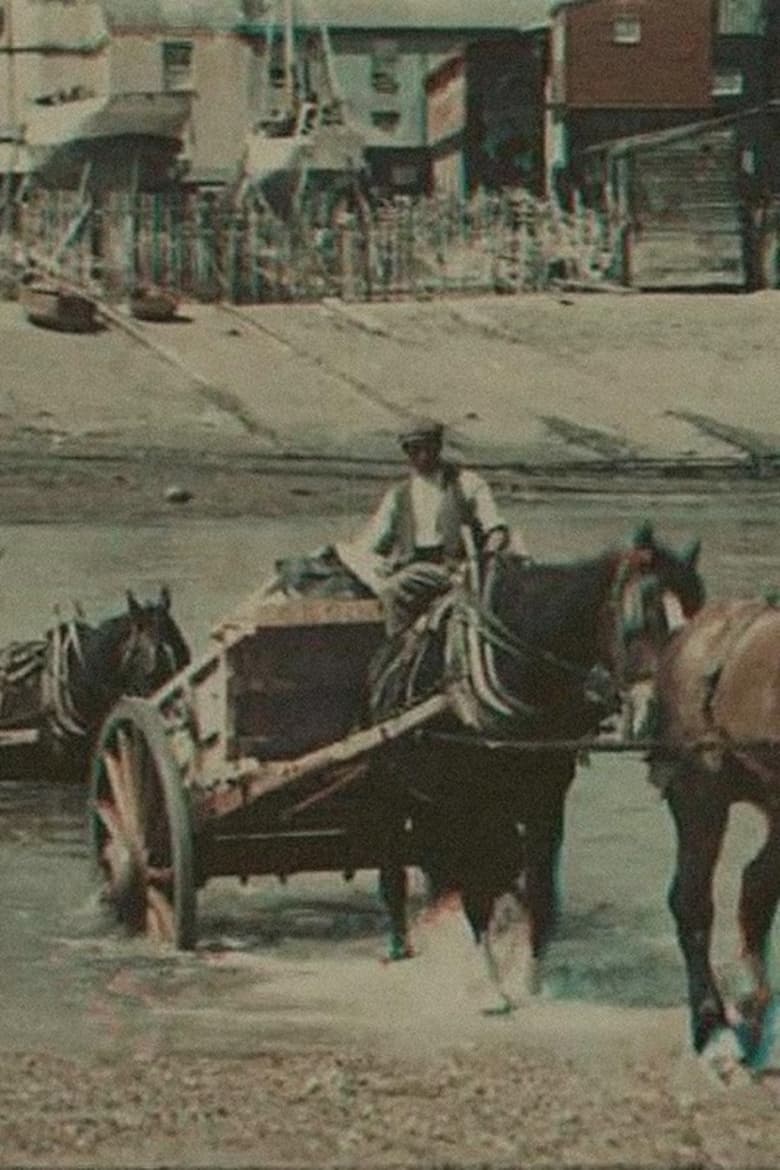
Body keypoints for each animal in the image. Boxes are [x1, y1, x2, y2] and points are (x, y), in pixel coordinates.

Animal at [369, 526, 706, 1010]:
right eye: (639, 619)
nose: (668, 709)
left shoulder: (545, 799)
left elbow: (541, 892)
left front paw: (530, 979)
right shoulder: (471, 805)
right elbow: (477, 888)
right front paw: (492, 986)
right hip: (396, 794)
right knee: (398, 869)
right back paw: (401, 943)